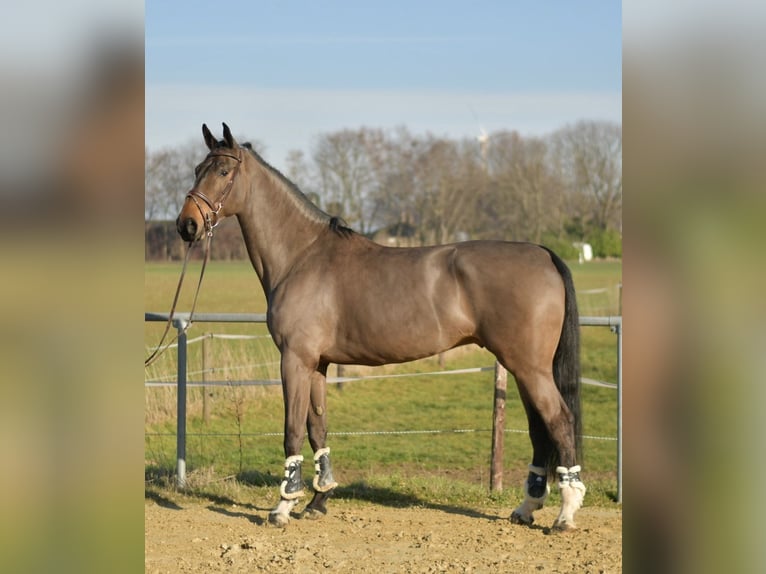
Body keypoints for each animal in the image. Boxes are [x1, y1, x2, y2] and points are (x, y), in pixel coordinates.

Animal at [176, 123, 586, 531]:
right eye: (196, 169)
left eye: (223, 172)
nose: (187, 225)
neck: (302, 256)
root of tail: (543, 253)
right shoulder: (318, 365)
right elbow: (317, 429)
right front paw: (319, 500)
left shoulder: (294, 359)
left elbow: (292, 432)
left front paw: (283, 507)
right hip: (524, 368)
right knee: (539, 429)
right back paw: (527, 508)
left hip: (528, 368)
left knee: (559, 421)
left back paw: (565, 514)